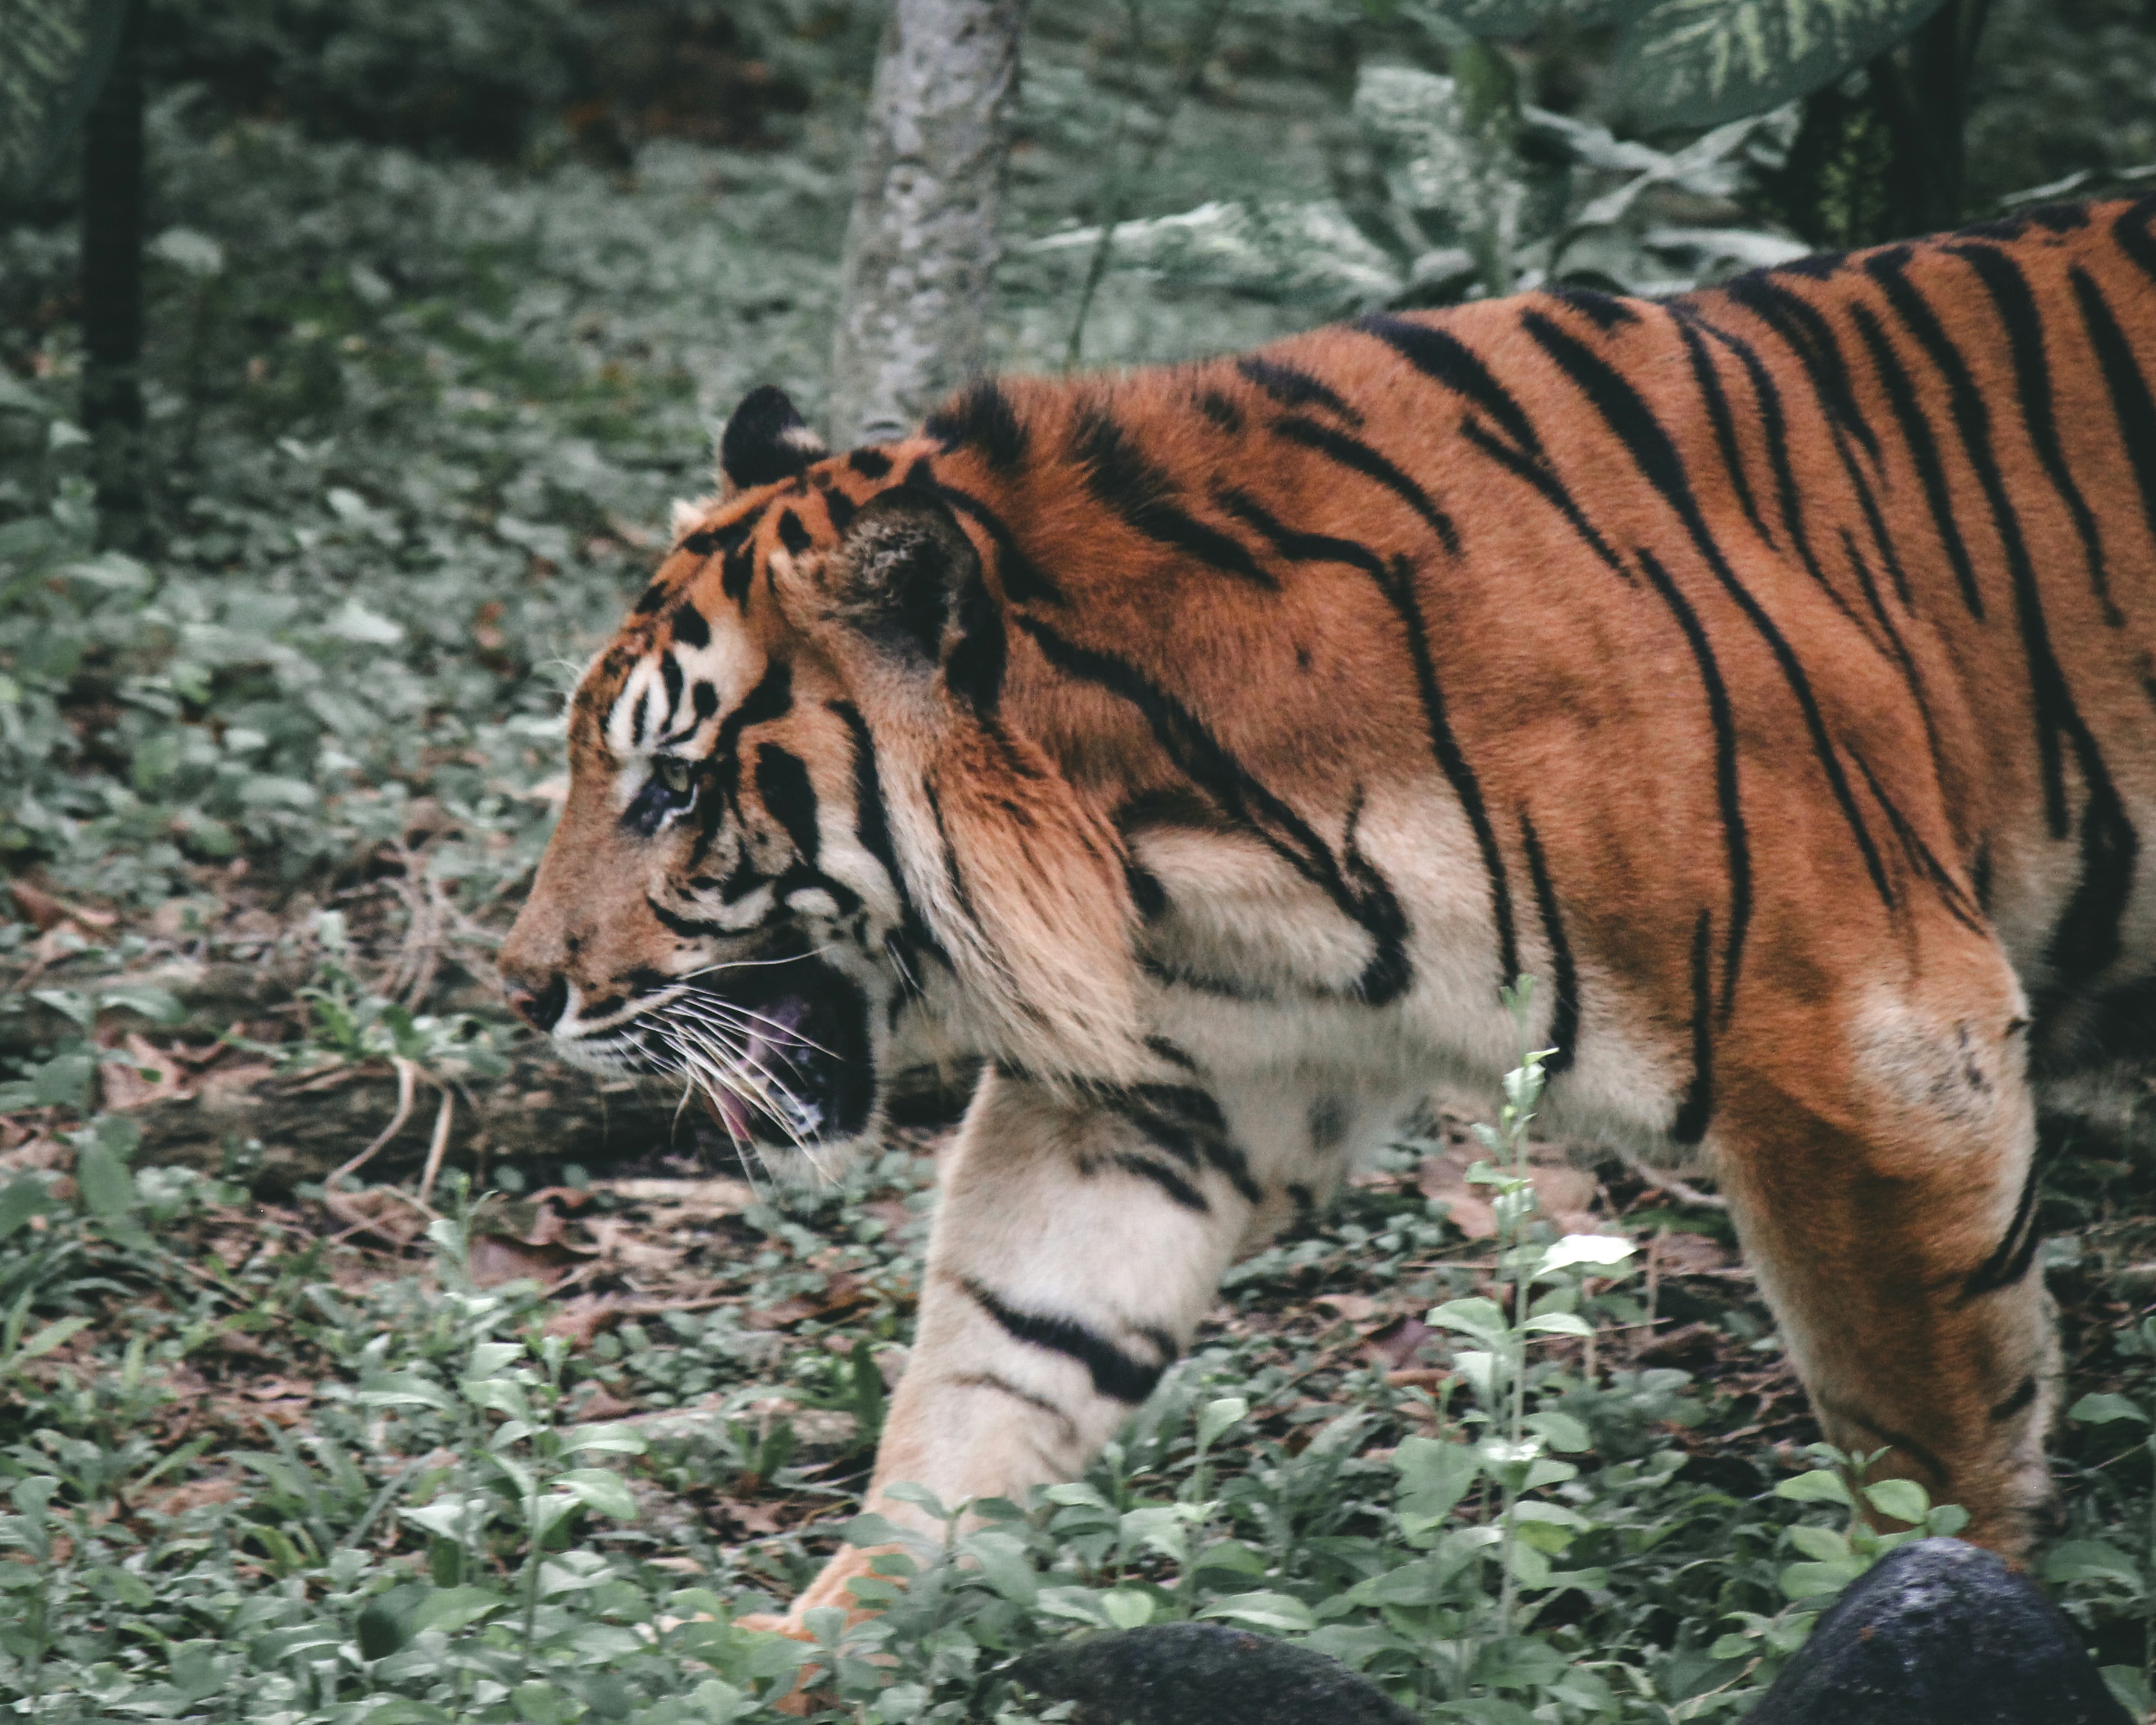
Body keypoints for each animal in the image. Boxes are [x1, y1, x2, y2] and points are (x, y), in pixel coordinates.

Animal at [499, 196, 2156, 1621]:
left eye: (672, 787)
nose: (520, 989)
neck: (1184, 841)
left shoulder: (1867, 1046)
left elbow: (1926, 1433)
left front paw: (1940, 1599)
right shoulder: (1170, 1091)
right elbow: (1000, 1359)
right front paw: (819, 1638)